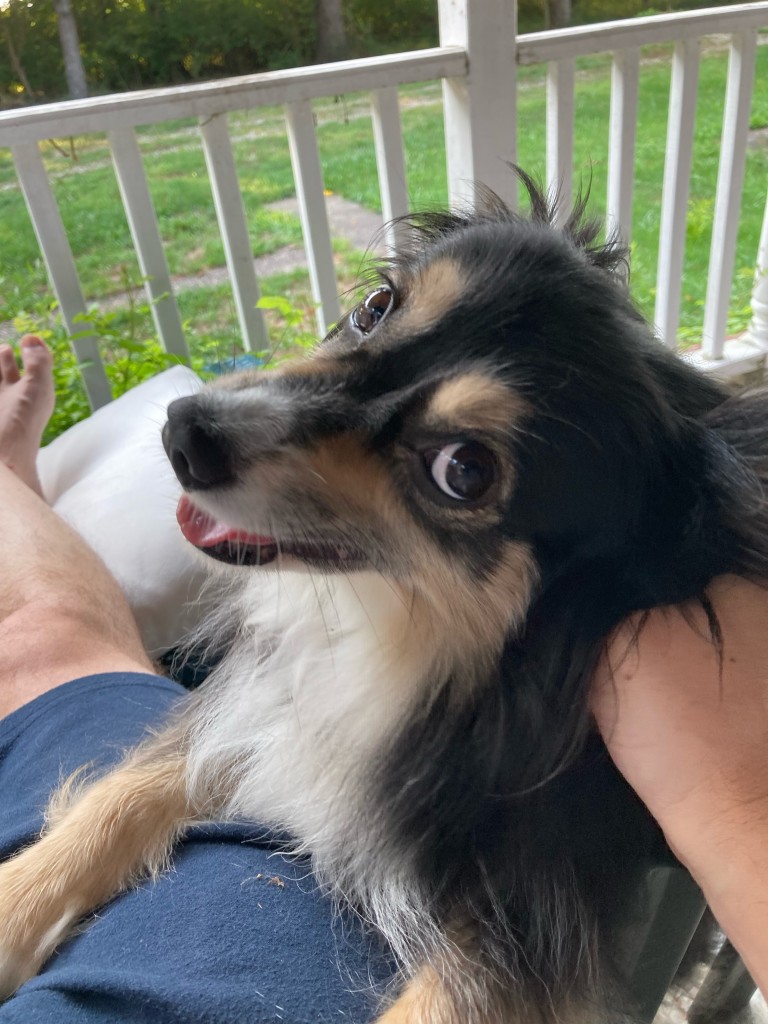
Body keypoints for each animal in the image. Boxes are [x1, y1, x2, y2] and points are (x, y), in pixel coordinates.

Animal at [1, 172, 768, 1019]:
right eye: (375, 305)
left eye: (464, 470)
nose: (184, 430)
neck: (401, 637)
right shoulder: (268, 725)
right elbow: (122, 793)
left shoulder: (521, 930)